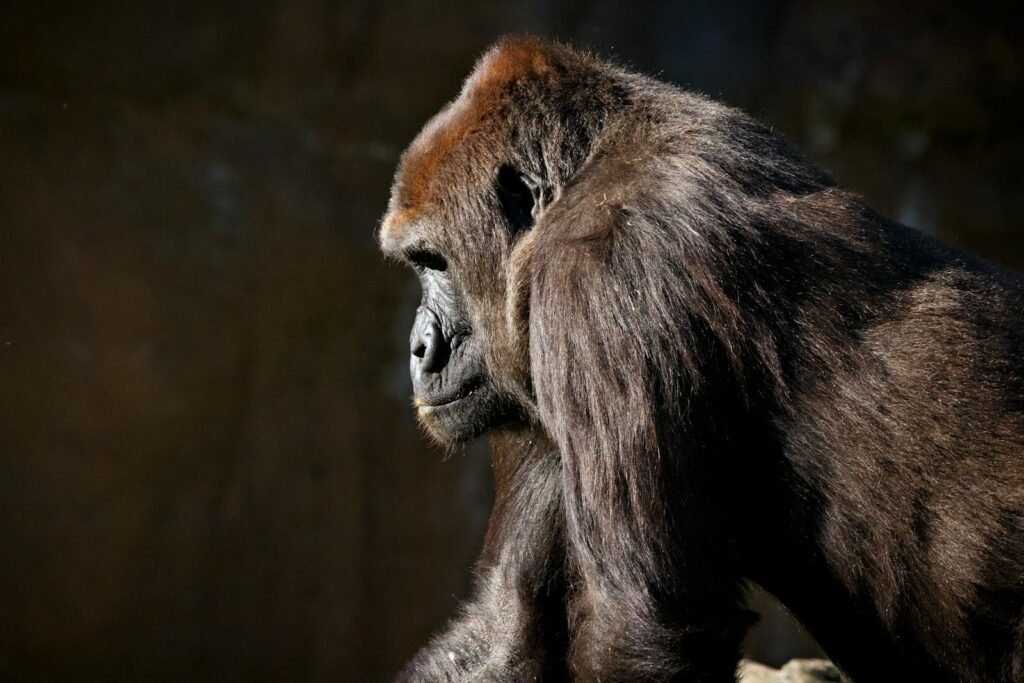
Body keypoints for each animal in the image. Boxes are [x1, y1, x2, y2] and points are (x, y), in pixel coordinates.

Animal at [378, 36, 1024, 682]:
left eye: (432, 260)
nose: (418, 347)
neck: (583, 176)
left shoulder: (606, 276)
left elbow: (640, 625)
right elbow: (507, 627)